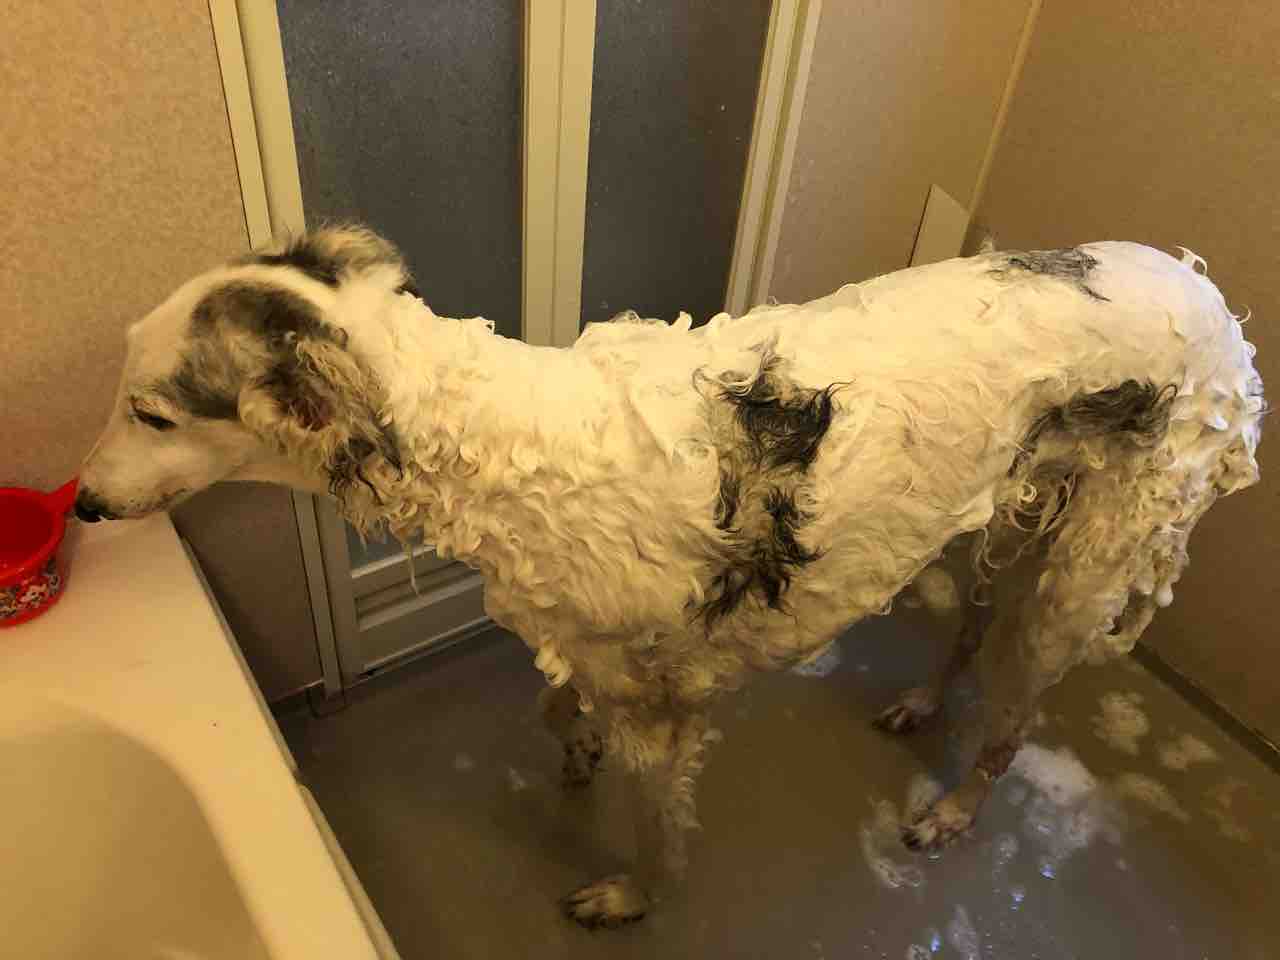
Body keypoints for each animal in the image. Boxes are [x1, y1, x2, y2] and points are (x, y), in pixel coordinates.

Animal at [77, 226, 1263, 928]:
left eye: (151, 413)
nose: (81, 504)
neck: (506, 437)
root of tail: (1205, 293)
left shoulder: (664, 712)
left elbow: (654, 829)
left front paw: (628, 895)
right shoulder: (576, 642)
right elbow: (560, 709)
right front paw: (574, 751)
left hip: (1076, 584)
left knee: (1011, 728)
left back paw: (952, 811)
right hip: (990, 523)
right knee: (966, 635)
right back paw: (922, 701)